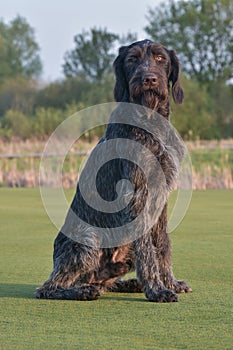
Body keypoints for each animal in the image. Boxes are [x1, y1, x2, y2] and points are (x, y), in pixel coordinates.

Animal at [36, 39, 192, 302]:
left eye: (160, 58)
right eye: (132, 59)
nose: (148, 79)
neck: (150, 121)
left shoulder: (161, 195)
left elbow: (162, 245)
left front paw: (169, 282)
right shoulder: (137, 193)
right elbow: (147, 251)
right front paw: (157, 288)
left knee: (105, 280)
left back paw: (127, 283)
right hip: (88, 238)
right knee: (48, 288)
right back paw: (84, 291)